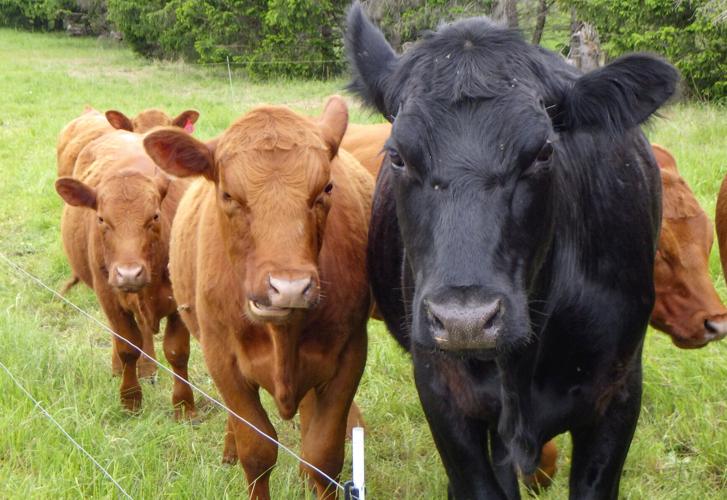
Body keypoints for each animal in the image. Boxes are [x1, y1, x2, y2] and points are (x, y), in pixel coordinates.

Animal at [55, 131, 195, 418]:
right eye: (101, 219)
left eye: (155, 216)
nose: (129, 274)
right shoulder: (110, 297)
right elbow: (127, 347)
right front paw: (130, 400)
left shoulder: (179, 303)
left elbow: (177, 352)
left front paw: (185, 407)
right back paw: (121, 369)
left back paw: (148, 370)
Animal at [143, 96, 373, 499]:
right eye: (228, 195)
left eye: (327, 188)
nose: (290, 287)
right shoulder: (223, 359)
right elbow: (257, 450)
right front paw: (243, 452)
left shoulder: (349, 355)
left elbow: (323, 455)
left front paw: (312, 473)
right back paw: (229, 450)